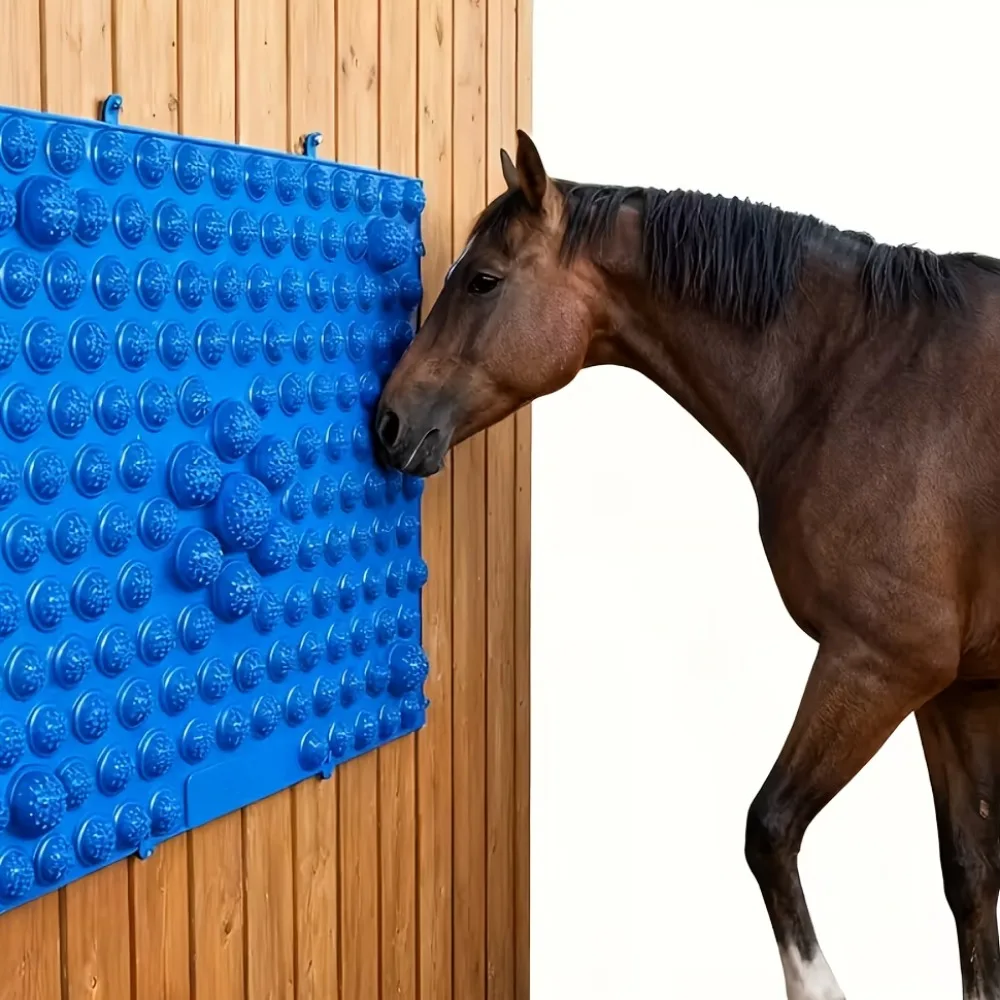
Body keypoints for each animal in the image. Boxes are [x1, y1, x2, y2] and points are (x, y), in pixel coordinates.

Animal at [374, 129, 1000, 1000]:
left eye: (483, 280)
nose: (388, 422)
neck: (862, 377)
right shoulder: (954, 689)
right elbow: (970, 878)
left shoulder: (881, 662)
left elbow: (769, 828)